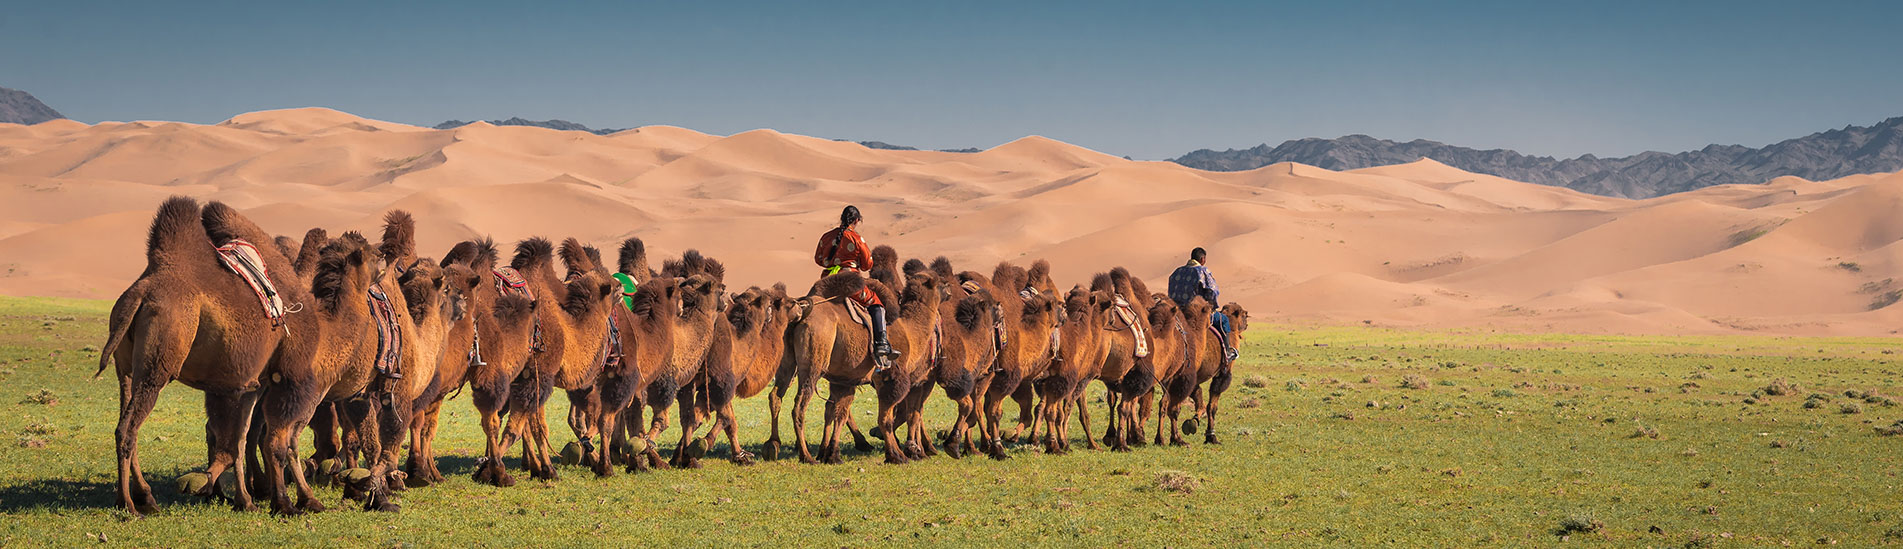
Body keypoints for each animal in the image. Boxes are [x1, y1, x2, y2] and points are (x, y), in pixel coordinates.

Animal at [98, 196, 319, 514]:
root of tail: (141, 293)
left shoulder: (244, 384)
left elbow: (237, 440)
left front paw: (242, 498)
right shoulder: (281, 376)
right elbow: (268, 440)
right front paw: (286, 502)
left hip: (125, 367)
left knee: (125, 422)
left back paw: (145, 496)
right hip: (158, 364)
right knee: (127, 428)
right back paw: (128, 504)